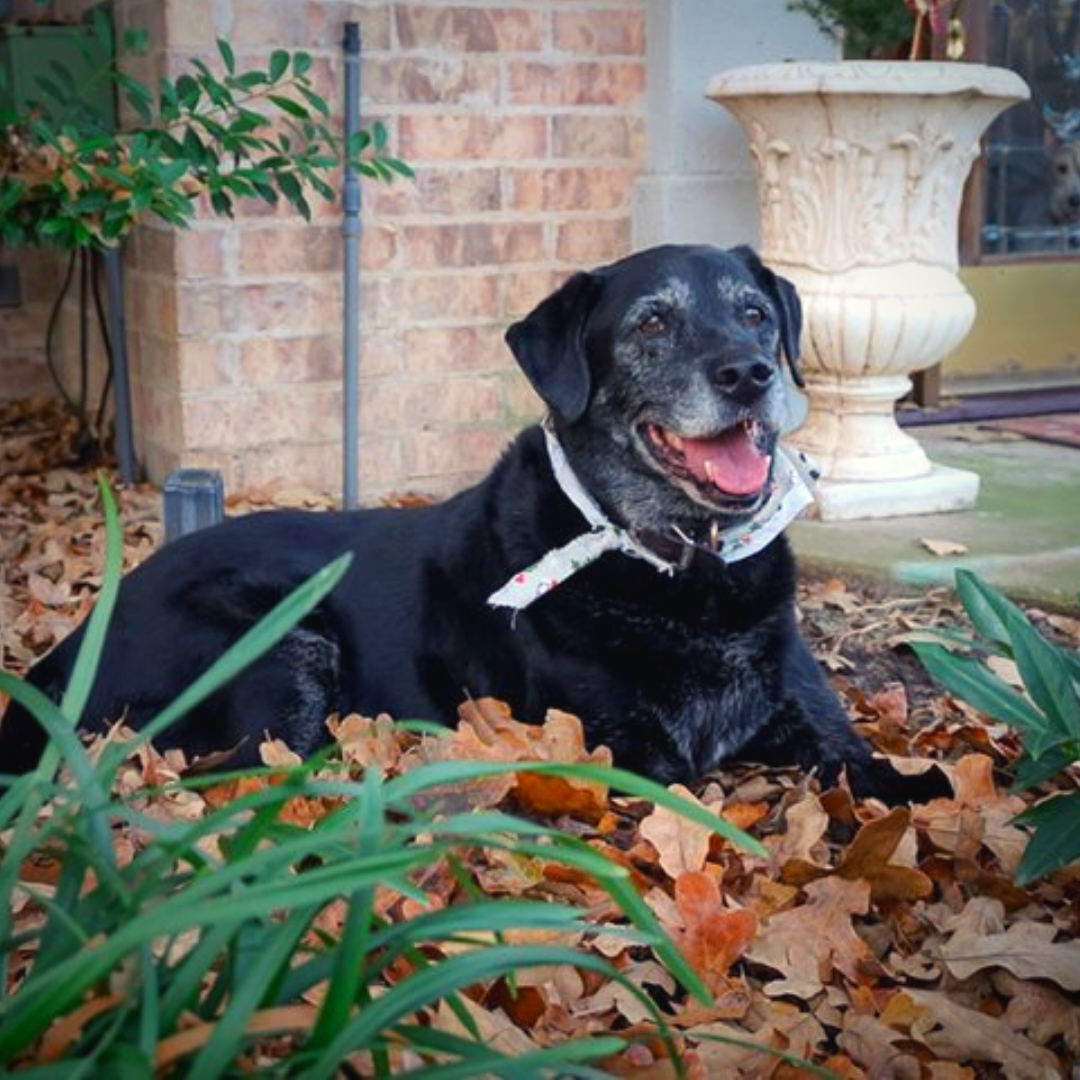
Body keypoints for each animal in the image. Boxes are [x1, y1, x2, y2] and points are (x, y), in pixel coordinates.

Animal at [0, 245, 941, 803]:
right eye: (653, 321)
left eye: (754, 313)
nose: (750, 373)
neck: (684, 565)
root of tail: (63, 650)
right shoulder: (625, 748)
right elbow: (693, 793)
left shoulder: (815, 722)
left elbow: (891, 778)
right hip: (282, 637)